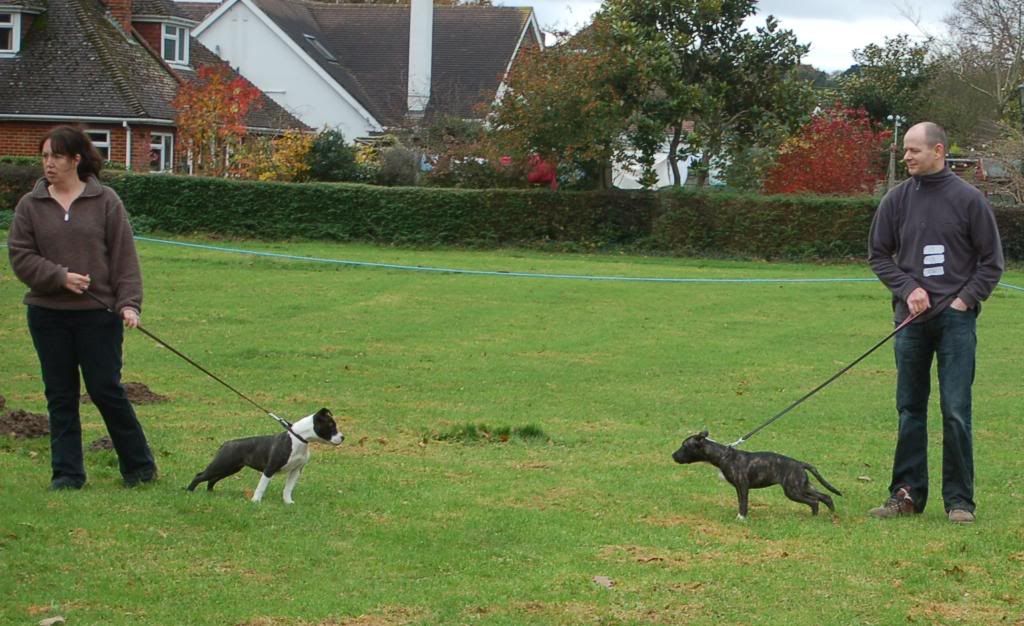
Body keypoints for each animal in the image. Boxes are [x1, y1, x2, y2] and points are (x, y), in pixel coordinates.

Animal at [187, 408, 343, 504]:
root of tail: (226, 443)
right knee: (200, 475)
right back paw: (189, 491)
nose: (343, 437)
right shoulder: (270, 469)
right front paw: (255, 501)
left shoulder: (296, 470)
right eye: (331, 425)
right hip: (221, 465)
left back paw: (210, 492)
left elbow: (288, 488)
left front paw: (288, 502)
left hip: (230, 468)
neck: (298, 438)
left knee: (212, 479)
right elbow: (262, 486)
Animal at [671, 430, 841, 519]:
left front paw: (741, 518)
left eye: (684, 446)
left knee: (814, 501)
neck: (723, 455)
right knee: (825, 496)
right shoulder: (738, 488)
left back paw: (815, 517)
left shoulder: (743, 486)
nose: (673, 456)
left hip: (793, 490)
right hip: (803, 486)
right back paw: (831, 515)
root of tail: (800, 464)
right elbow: (740, 501)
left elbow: (743, 503)